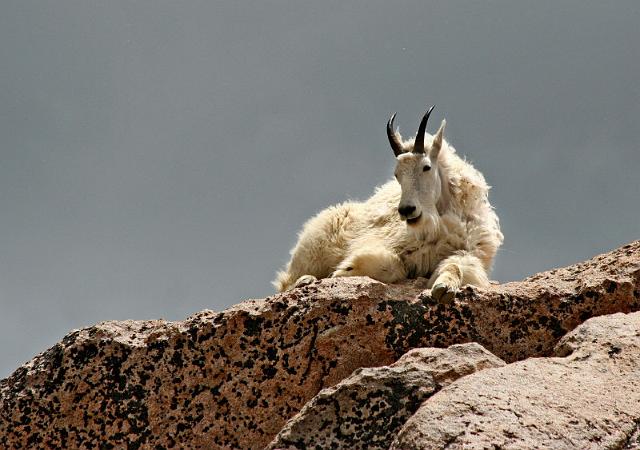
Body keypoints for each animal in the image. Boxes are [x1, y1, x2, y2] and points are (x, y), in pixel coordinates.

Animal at [272, 106, 502, 302]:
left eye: (426, 167)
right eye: (397, 174)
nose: (407, 210)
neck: (440, 219)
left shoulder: (471, 252)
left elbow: (457, 265)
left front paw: (443, 288)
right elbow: (394, 265)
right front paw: (345, 270)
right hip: (313, 249)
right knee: (286, 283)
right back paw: (306, 280)